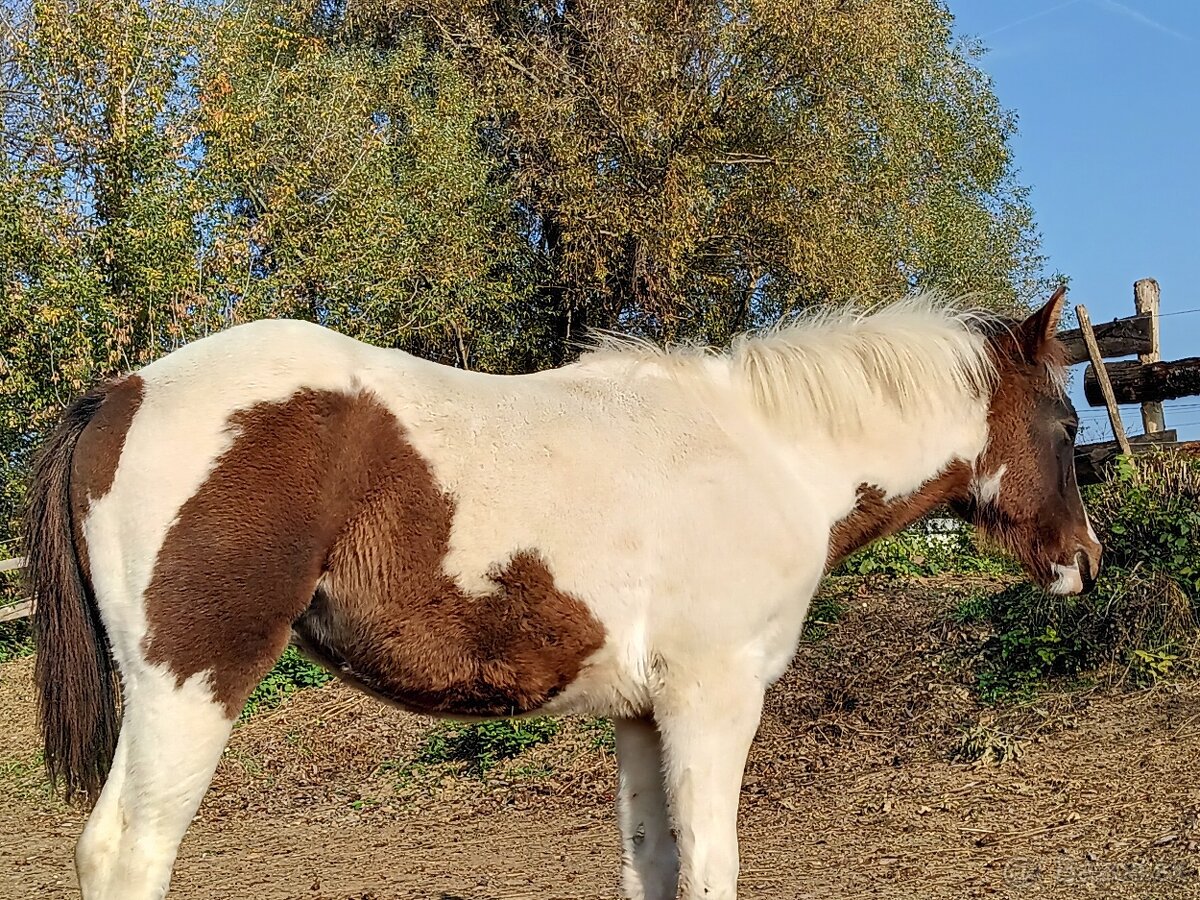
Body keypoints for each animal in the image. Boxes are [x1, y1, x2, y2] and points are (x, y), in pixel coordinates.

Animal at [25, 286, 1099, 897]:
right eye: (1066, 421)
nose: (1084, 560)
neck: (770, 454)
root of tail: (120, 393)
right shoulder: (714, 699)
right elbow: (712, 867)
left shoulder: (642, 713)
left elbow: (653, 866)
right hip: (189, 681)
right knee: (127, 853)